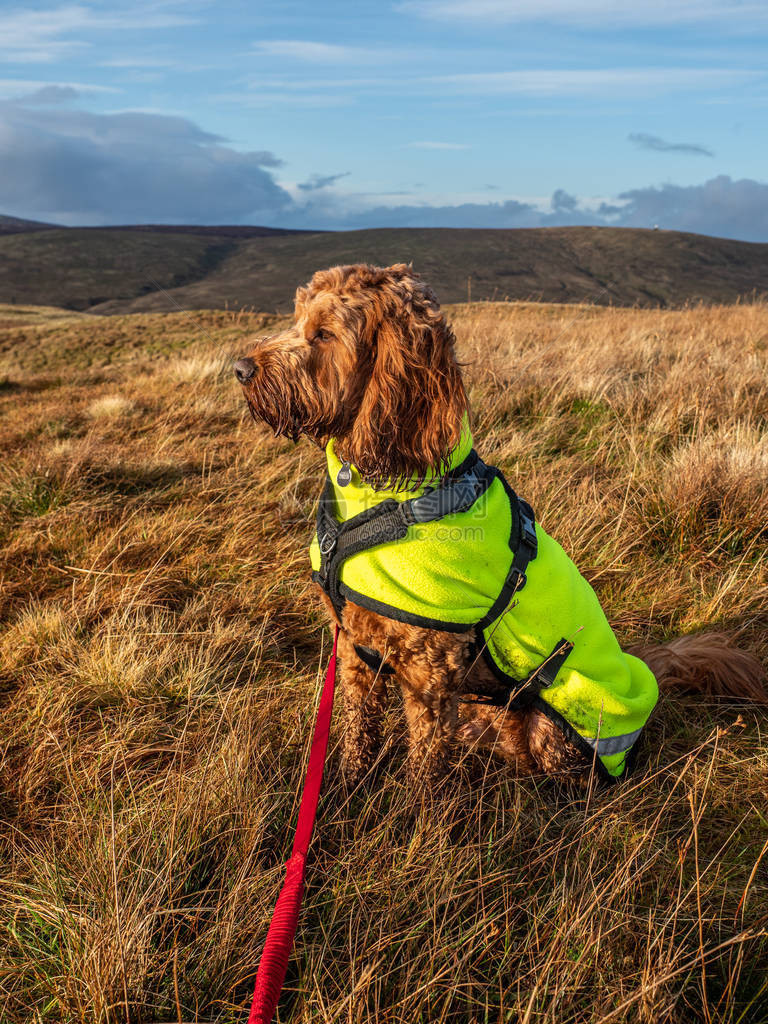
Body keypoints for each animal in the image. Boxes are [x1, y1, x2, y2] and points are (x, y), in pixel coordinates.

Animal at [234, 262, 768, 782]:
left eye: (324, 334)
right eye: (297, 319)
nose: (240, 368)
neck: (388, 490)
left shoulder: (430, 672)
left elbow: (424, 763)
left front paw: (417, 809)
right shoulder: (354, 651)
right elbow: (356, 733)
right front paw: (348, 787)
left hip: (553, 726)